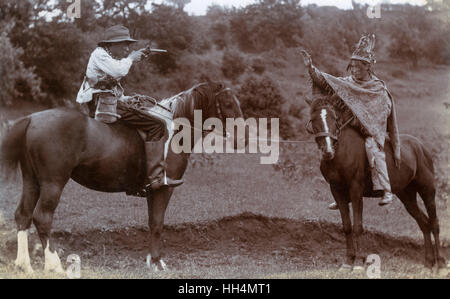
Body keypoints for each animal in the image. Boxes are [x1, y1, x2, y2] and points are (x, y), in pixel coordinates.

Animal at [0, 81, 246, 274]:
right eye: (227, 104)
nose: (241, 139)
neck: (175, 131)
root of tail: (32, 119)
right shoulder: (164, 189)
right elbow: (158, 224)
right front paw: (157, 263)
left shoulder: (152, 191)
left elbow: (152, 223)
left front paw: (152, 261)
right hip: (53, 183)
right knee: (42, 218)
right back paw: (54, 266)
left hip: (32, 181)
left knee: (23, 215)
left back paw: (24, 265)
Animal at [310, 95, 446, 274]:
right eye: (314, 120)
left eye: (335, 119)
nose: (327, 150)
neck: (341, 153)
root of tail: (421, 147)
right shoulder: (337, 191)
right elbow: (346, 226)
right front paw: (348, 262)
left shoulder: (356, 190)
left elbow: (357, 226)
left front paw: (359, 263)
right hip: (407, 195)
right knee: (424, 223)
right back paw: (428, 263)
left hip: (427, 190)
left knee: (434, 223)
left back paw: (441, 264)